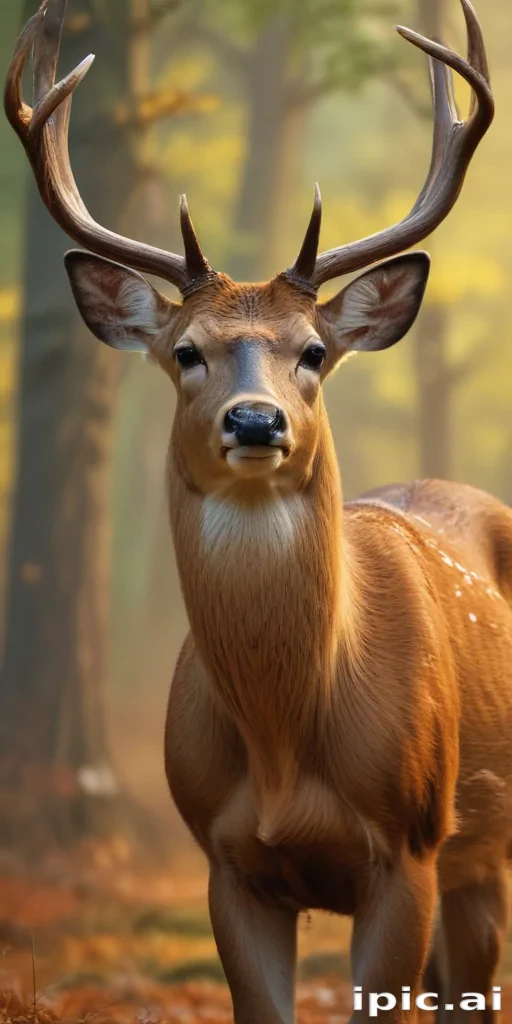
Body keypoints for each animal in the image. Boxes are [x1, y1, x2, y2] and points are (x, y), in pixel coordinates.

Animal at [6, 0, 512, 1021]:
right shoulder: (224, 858)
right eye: (185, 351)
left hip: (480, 849)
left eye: (314, 350)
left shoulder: (409, 849)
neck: (284, 753)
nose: (254, 419)